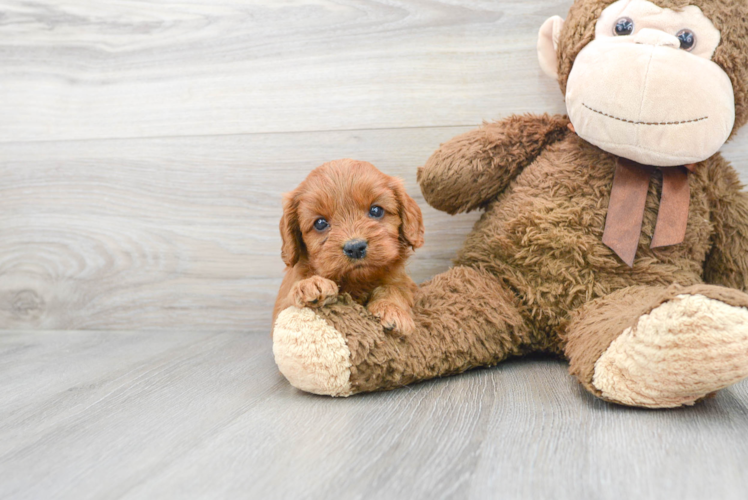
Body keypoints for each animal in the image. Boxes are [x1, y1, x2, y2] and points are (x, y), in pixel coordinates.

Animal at [272, 158, 424, 334]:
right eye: (320, 223)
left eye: (376, 210)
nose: (355, 248)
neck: (357, 282)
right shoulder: (282, 309)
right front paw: (310, 284)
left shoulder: (403, 282)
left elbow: (395, 288)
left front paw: (391, 309)